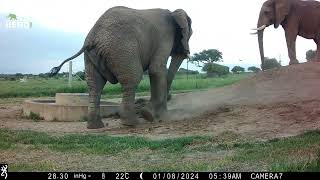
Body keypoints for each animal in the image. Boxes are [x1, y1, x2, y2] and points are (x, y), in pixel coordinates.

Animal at [48, 5, 191, 129]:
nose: (170, 97)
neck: (173, 13)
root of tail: (93, 36)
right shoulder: (165, 36)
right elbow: (156, 68)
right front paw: (152, 116)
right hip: (123, 49)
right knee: (133, 78)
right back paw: (131, 123)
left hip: (92, 55)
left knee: (94, 84)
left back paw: (95, 126)